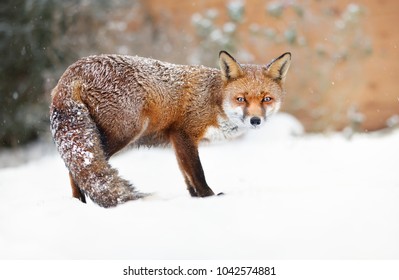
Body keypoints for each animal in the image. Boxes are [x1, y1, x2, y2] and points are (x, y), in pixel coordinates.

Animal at [50, 50, 290, 208]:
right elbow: (197, 173)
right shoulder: (184, 134)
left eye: (266, 99)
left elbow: (187, 177)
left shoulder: (176, 140)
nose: (255, 120)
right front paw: (210, 199)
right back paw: (80, 205)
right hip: (122, 134)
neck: (212, 99)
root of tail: (72, 71)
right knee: (77, 169)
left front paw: (195, 199)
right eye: (241, 99)